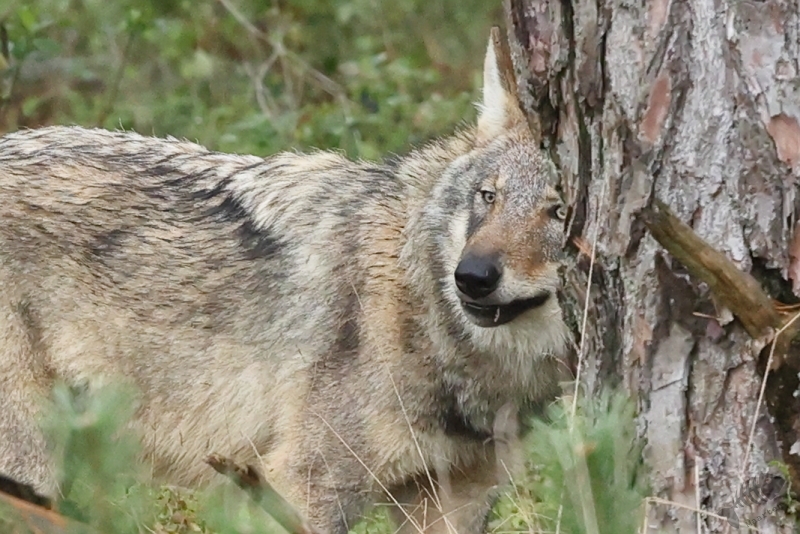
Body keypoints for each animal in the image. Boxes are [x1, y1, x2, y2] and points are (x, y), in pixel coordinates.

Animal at [0, 28, 570, 534]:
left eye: (560, 212)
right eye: (488, 196)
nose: (470, 277)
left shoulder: (456, 499)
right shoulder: (302, 483)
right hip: (30, 469)